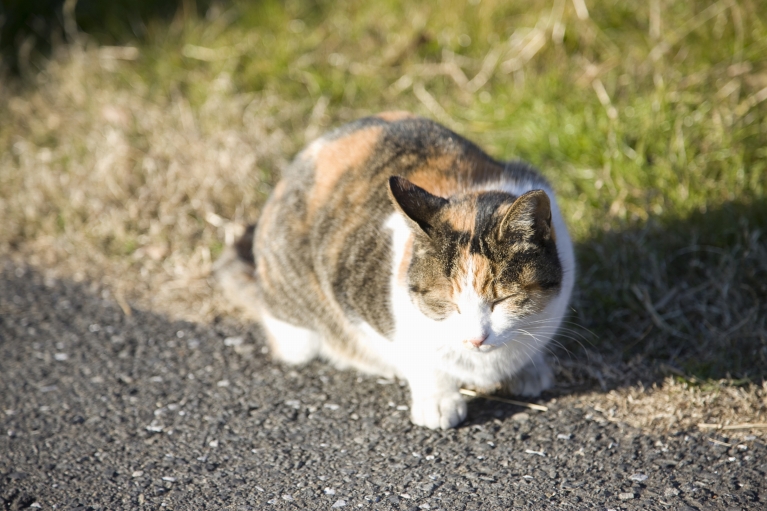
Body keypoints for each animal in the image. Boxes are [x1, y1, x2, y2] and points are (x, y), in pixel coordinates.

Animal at [213, 113, 572, 432]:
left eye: (502, 300)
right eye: (447, 303)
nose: (475, 339)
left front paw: (528, 369)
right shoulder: (357, 295)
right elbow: (416, 354)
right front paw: (437, 399)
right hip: (295, 332)